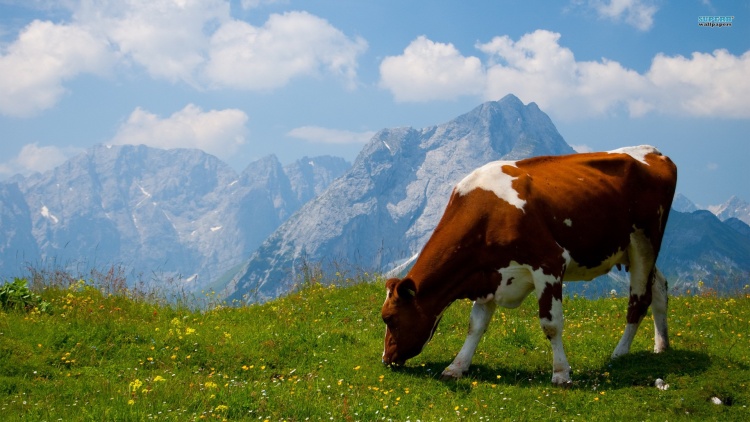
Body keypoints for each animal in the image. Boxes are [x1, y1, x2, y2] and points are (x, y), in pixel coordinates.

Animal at [384, 145, 680, 386]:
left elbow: (551, 323)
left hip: (645, 243)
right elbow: (475, 325)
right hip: (630, 252)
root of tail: (654, 152)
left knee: (638, 300)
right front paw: (457, 367)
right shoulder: (489, 275)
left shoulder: (549, 263)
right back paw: (661, 345)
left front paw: (561, 373)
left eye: (389, 318)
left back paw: (619, 353)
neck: (487, 213)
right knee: (660, 288)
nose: (386, 359)